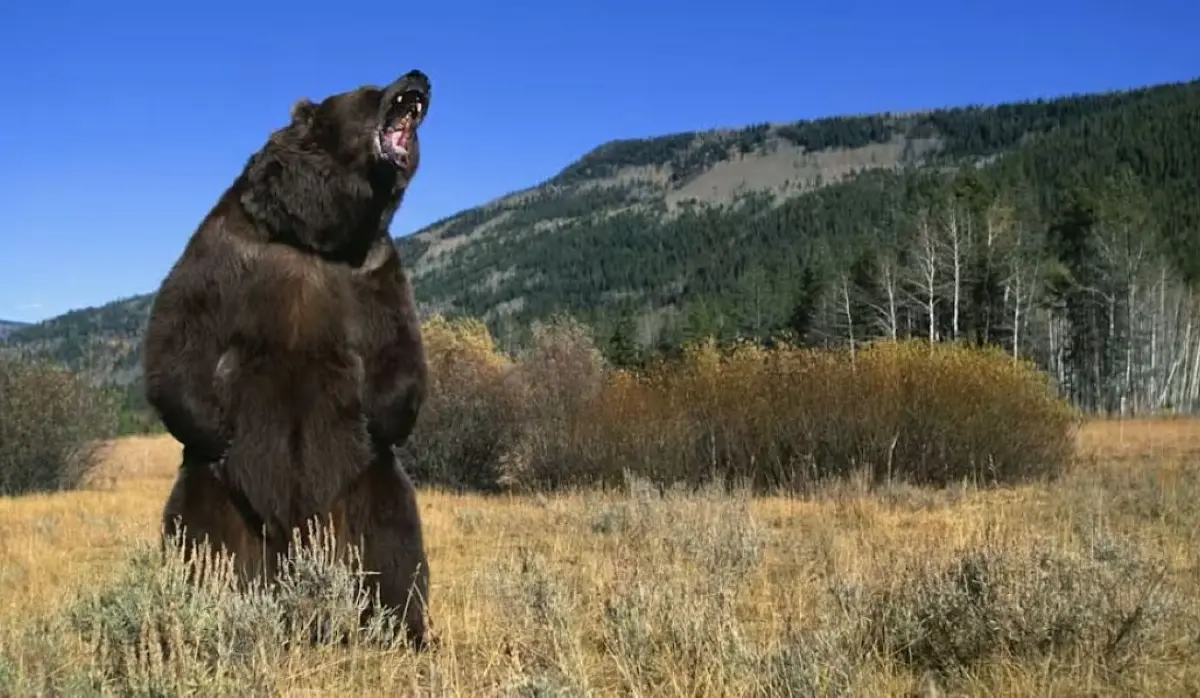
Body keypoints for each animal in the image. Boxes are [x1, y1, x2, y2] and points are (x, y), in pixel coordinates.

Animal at [141, 69, 434, 649]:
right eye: (371, 88)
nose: (420, 76)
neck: (314, 236)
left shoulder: (375, 271)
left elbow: (398, 346)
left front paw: (384, 414)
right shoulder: (228, 248)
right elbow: (178, 329)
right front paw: (210, 423)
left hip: (365, 487)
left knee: (394, 548)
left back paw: (404, 631)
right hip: (218, 495)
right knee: (197, 546)